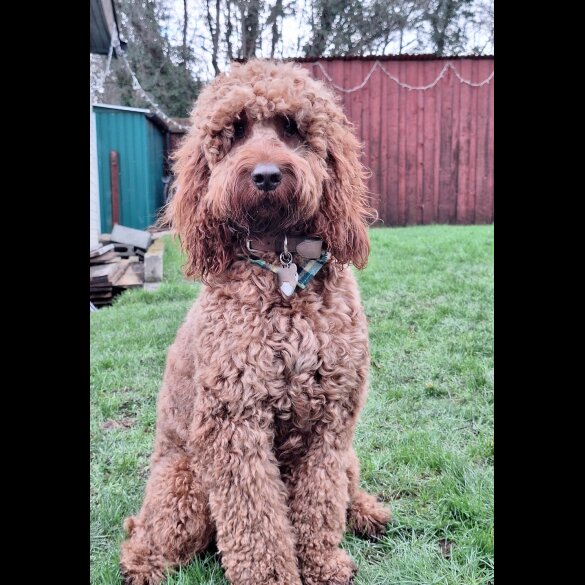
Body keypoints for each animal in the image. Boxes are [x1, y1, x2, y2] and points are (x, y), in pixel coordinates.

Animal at [119, 59, 390, 584]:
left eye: (291, 127)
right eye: (236, 130)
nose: (266, 175)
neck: (282, 267)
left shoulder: (332, 424)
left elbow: (321, 501)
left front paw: (323, 564)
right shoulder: (234, 425)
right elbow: (256, 522)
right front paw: (274, 576)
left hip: (347, 454)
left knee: (347, 486)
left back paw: (368, 511)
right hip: (183, 490)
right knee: (146, 539)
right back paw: (141, 565)